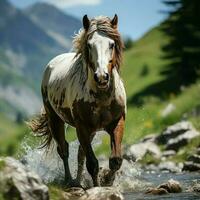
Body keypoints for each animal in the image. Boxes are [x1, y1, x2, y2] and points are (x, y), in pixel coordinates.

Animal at [28, 14, 126, 188]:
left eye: (112, 44)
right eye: (89, 45)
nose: (102, 77)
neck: (102, 98)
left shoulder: (117, 122)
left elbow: (115, 160)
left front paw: (107, 180)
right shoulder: (82, 127)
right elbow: (92, 163)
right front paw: (98, 186)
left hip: (91, 130)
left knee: (80, 154)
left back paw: (78, 180)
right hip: (55, 120)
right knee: (63, 149)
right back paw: (69, 180)